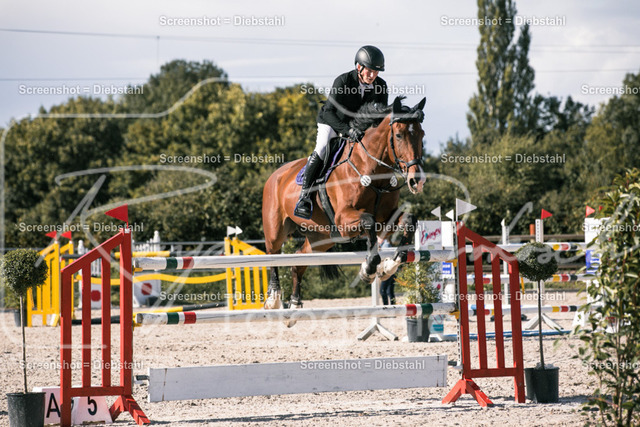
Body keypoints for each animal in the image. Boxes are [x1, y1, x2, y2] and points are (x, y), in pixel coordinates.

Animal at [262, 96, 426, 312]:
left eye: (422, 134)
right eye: (398, 135)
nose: (417, 181)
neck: (372, 170)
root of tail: (275, 175)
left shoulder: (385, 220)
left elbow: (409, 220)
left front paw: (389, 266)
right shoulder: (343, 219)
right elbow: (368, 220)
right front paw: (369, 269)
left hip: (321, 239)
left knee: (298, 261)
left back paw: (295, 304)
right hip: (276, 230)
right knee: (272, 254)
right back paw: (274, 299)